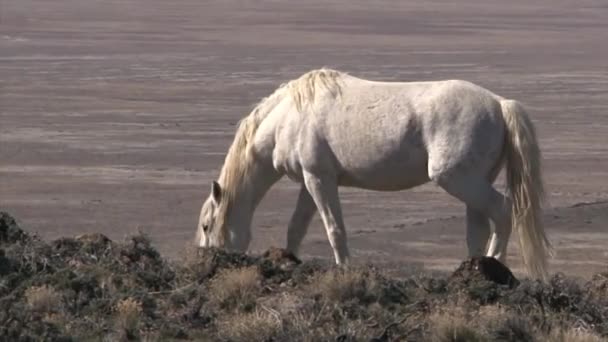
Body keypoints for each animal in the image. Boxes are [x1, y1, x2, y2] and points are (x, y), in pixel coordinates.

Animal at [197, 68, 552, 280]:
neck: (286, 117)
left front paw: (343, 268)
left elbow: (334, 229)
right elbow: (296, 228)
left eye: (206, 225)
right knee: (478, 229)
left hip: (458, 179)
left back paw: (495, 264)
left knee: (503, 211)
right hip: (473, 183)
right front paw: (289, 260)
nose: (206, 264)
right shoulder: (311, 182)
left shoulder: (319, 180)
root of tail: (500, 104)